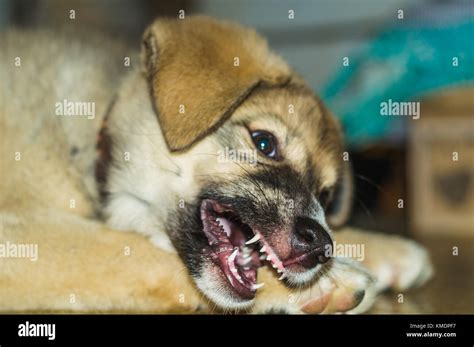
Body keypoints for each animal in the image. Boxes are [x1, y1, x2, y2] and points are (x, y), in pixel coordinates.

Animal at [0, 16, 432, 314]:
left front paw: (387, 250)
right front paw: (327, 284)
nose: (320, 246)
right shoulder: (20, 238)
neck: (92, 146)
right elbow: (140, 254)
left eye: (325, 195)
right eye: (264, 143)